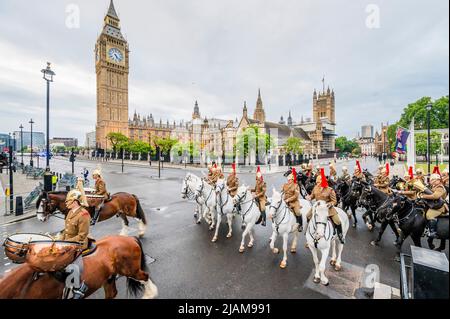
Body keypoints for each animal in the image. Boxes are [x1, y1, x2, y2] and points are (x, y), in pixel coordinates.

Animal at [0, 235, 158, 300]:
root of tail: (129, 238)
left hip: (131, 270)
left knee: (145, 277)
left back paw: (150, 294)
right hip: (108, 277)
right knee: (111, 293)